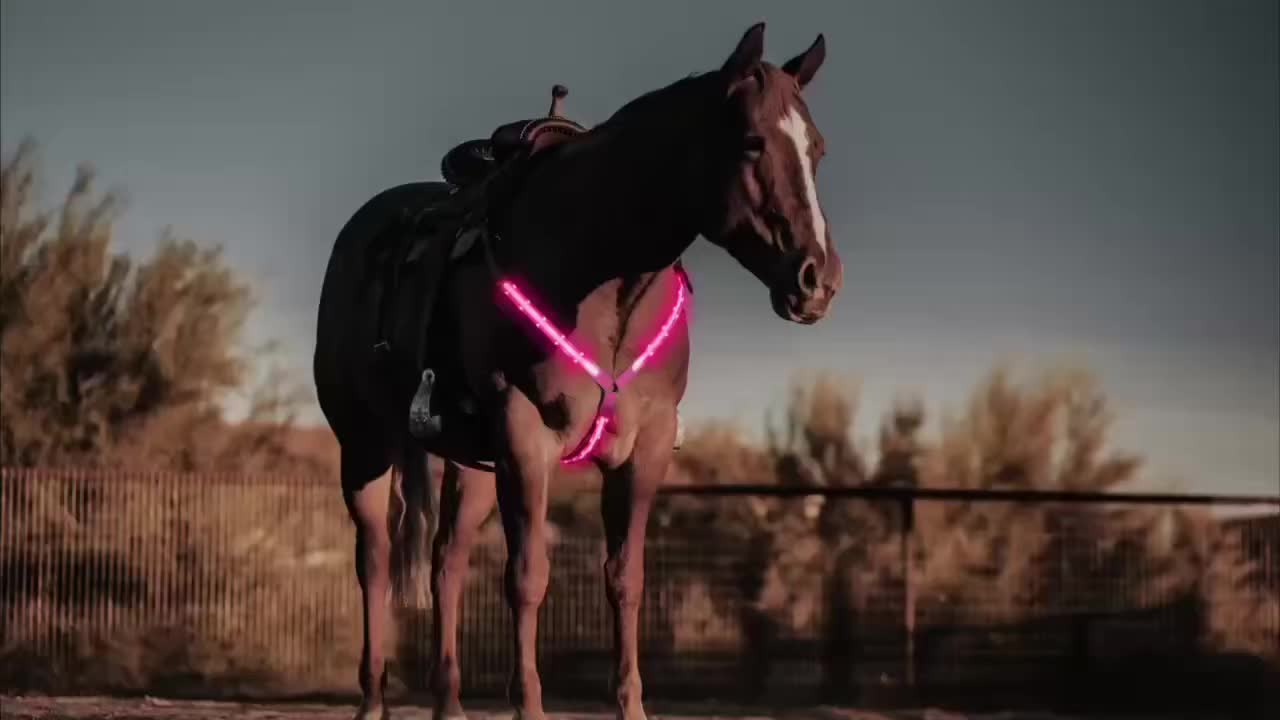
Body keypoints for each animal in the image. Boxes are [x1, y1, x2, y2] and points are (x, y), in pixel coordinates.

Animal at [313, 22, 842, 720]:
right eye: (753, 142)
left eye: (819, 150)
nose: (818, 280)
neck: (599, 270)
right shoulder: (525, 437)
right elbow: (528, 576)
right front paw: (529, 705)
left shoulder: (644, 448)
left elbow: (626, 580)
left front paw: (631, 705)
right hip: (365, 446)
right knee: (373, 560)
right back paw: (372, 699)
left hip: (470, 466)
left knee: (446, 564)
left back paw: (449, 702)